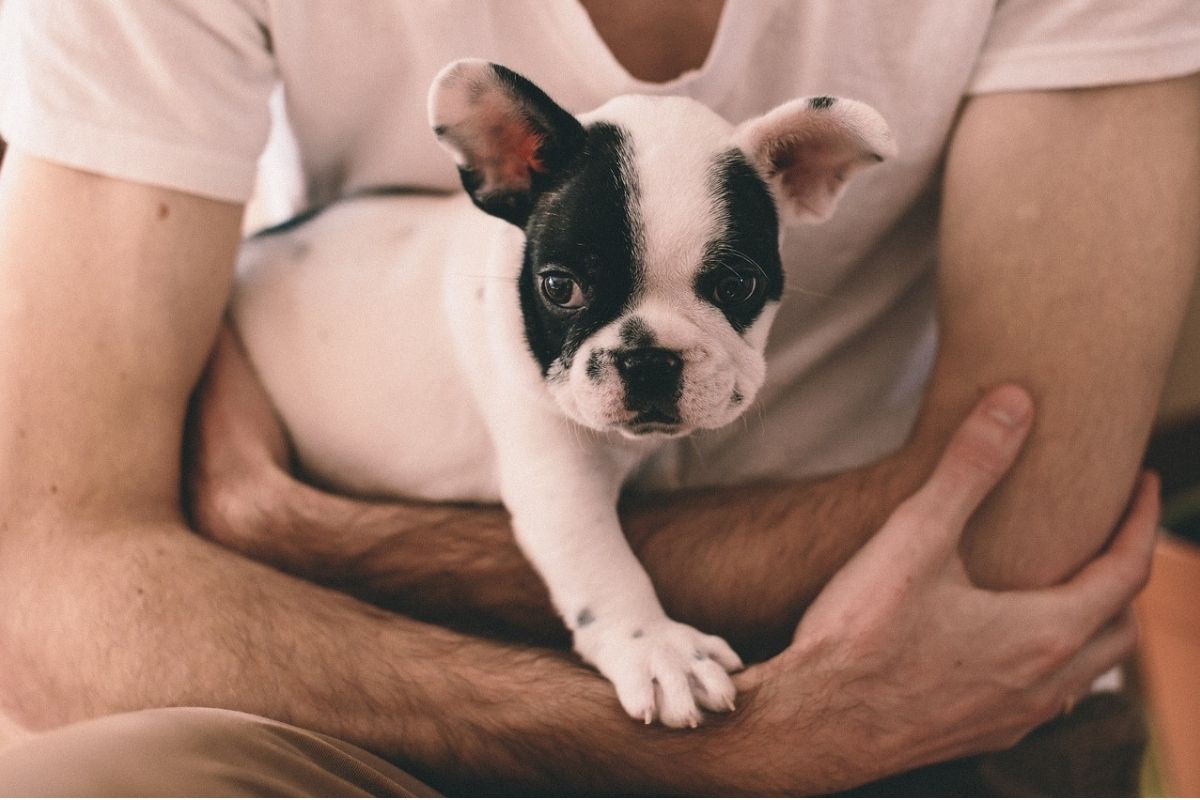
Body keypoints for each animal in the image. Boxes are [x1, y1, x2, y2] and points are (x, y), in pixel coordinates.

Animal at [231, 59, 892, 729]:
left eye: (737, 286)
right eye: (559, 287)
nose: (648, 358)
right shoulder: (556, 472)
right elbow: (600, 562)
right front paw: (656, 648)